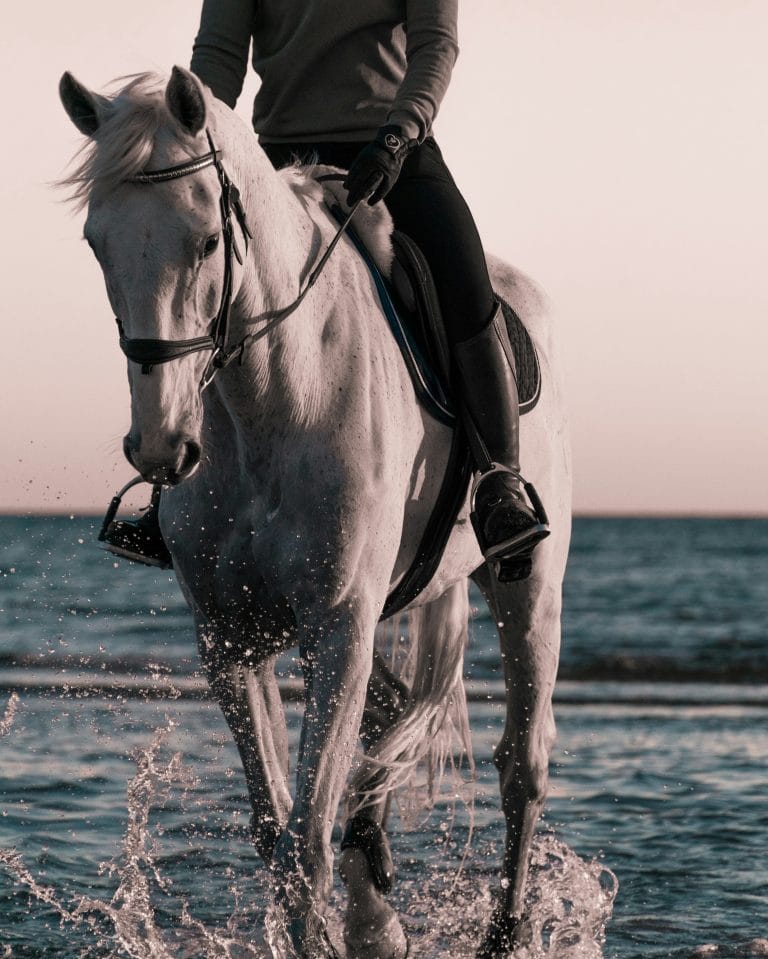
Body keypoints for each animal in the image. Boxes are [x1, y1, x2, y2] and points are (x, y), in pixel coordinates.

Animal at [59, 66, 571, 959]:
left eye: (206, 240)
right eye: (97, 243)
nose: (161, 446)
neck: (273, 396)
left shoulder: (336, 625)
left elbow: (304, 837)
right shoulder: (231, 638)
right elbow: (276, 830)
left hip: (528, 586)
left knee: (522, 766)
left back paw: (500, 933)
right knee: (393, 721)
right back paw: (377, 915)